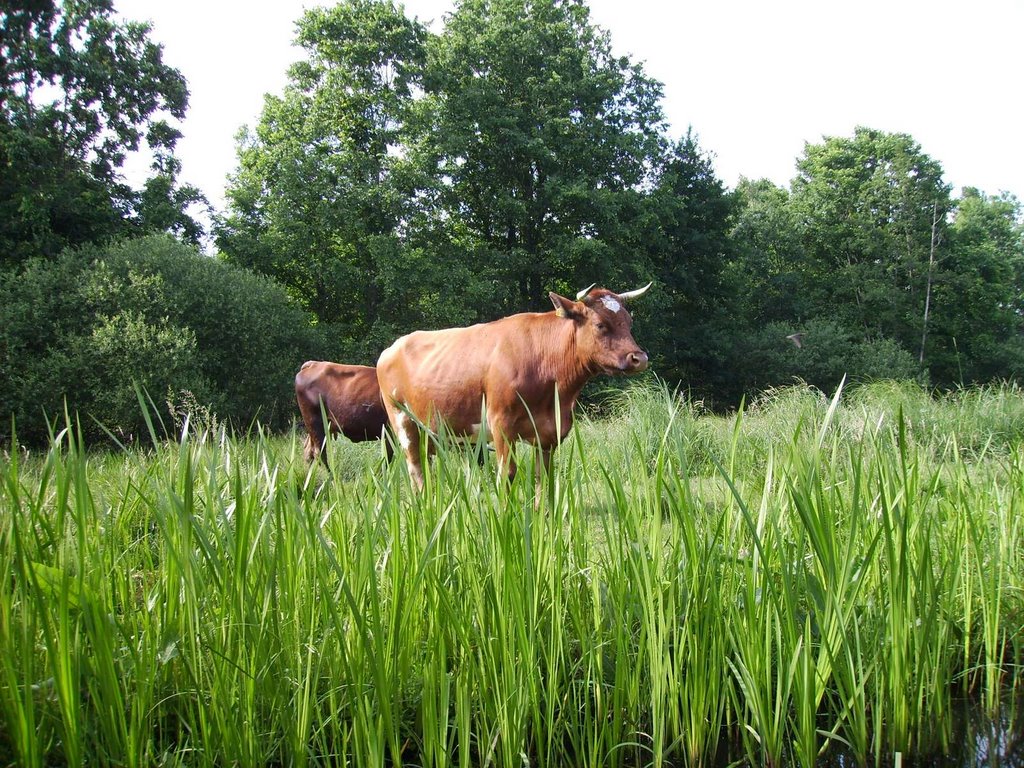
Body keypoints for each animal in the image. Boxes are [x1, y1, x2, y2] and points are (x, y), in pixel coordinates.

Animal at [374, 284, 647, 493]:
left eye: (629, 322)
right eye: (601, 324)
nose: (639, 358)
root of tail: (392, 347)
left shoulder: (550, 433)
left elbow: (544, 480)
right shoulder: (501, 424)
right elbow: (507, 475)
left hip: (432, 429)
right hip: (402, 422)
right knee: (415, 468)